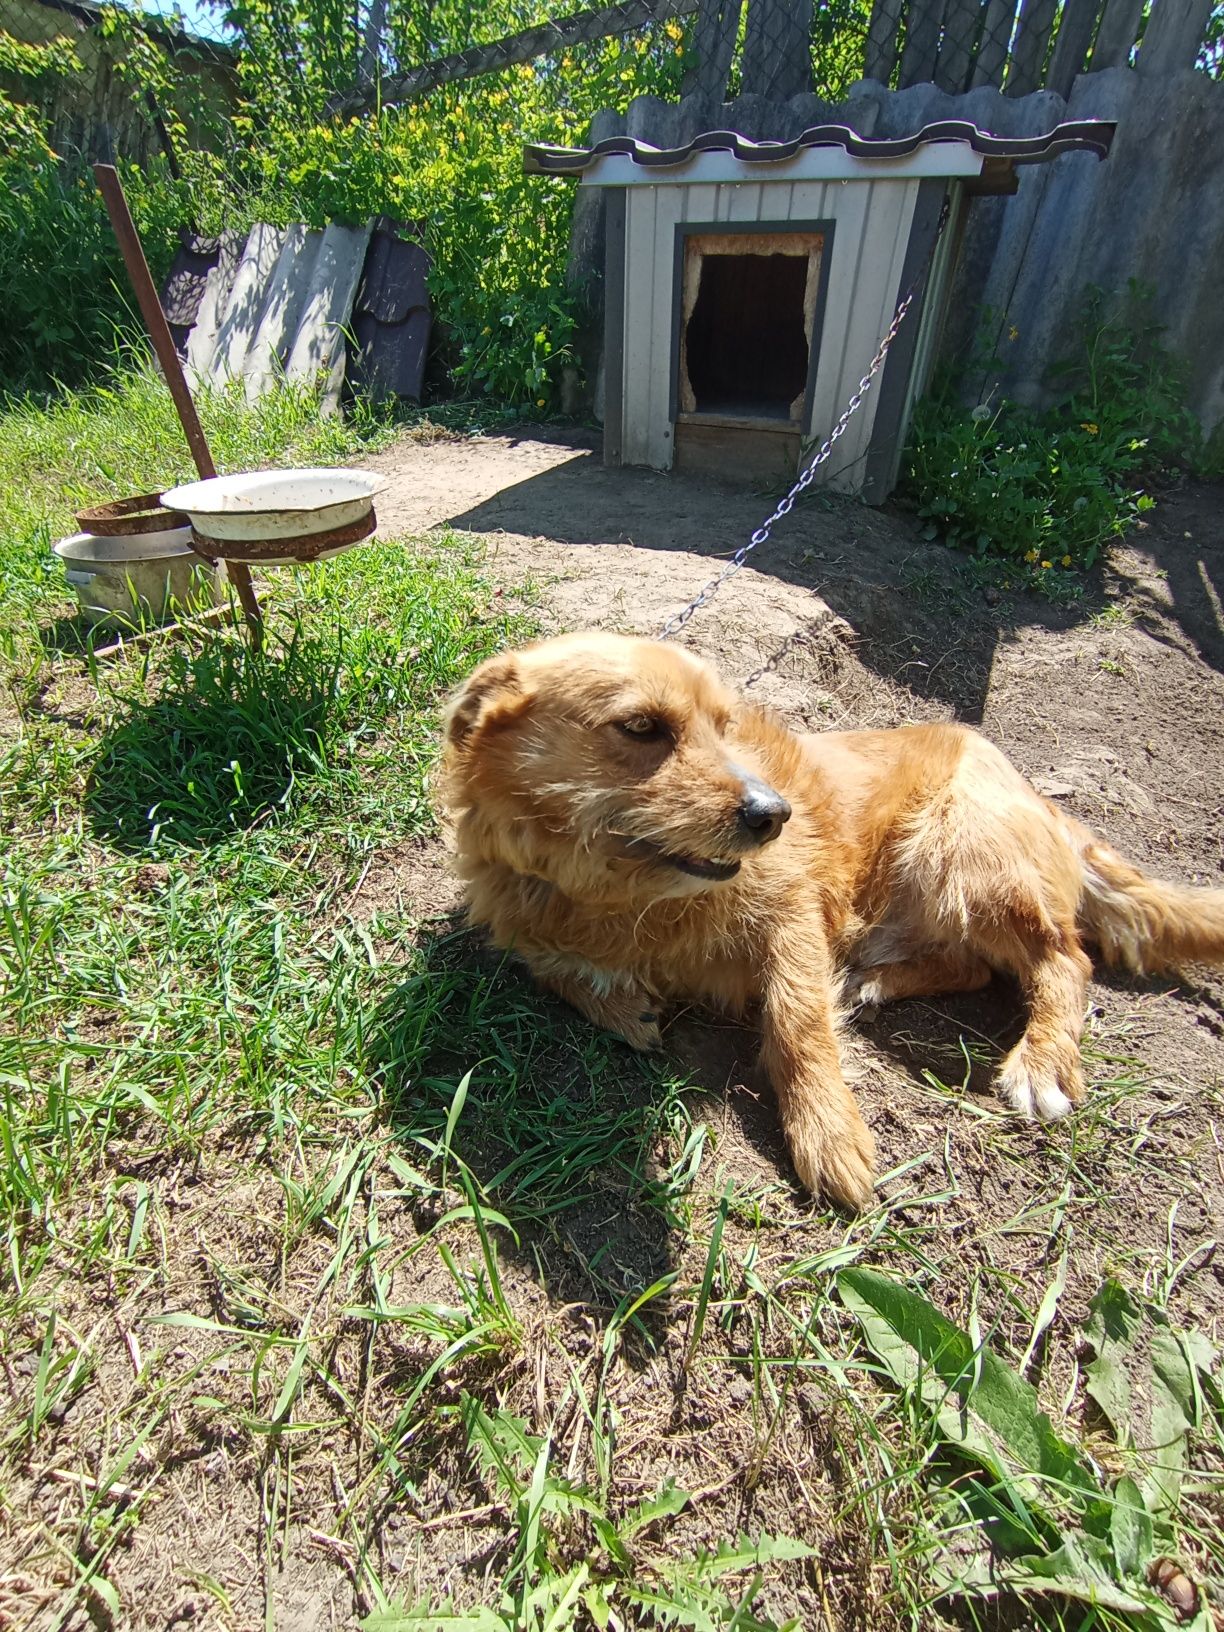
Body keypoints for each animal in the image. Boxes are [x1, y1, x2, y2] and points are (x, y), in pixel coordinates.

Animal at [440, 629, 1224, 1207]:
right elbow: (559, 970)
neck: (625, 900)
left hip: (967, 857)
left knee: (1064, 958)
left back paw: (1041, 1062)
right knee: (974, 964)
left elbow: (797, 1021)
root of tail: (1047, 804)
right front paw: (619, 1003)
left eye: (724, 728)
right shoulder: (530, 930)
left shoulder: (793, 913)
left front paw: (827, 1130)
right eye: (641, 727)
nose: (775, 813)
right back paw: (882, 980)